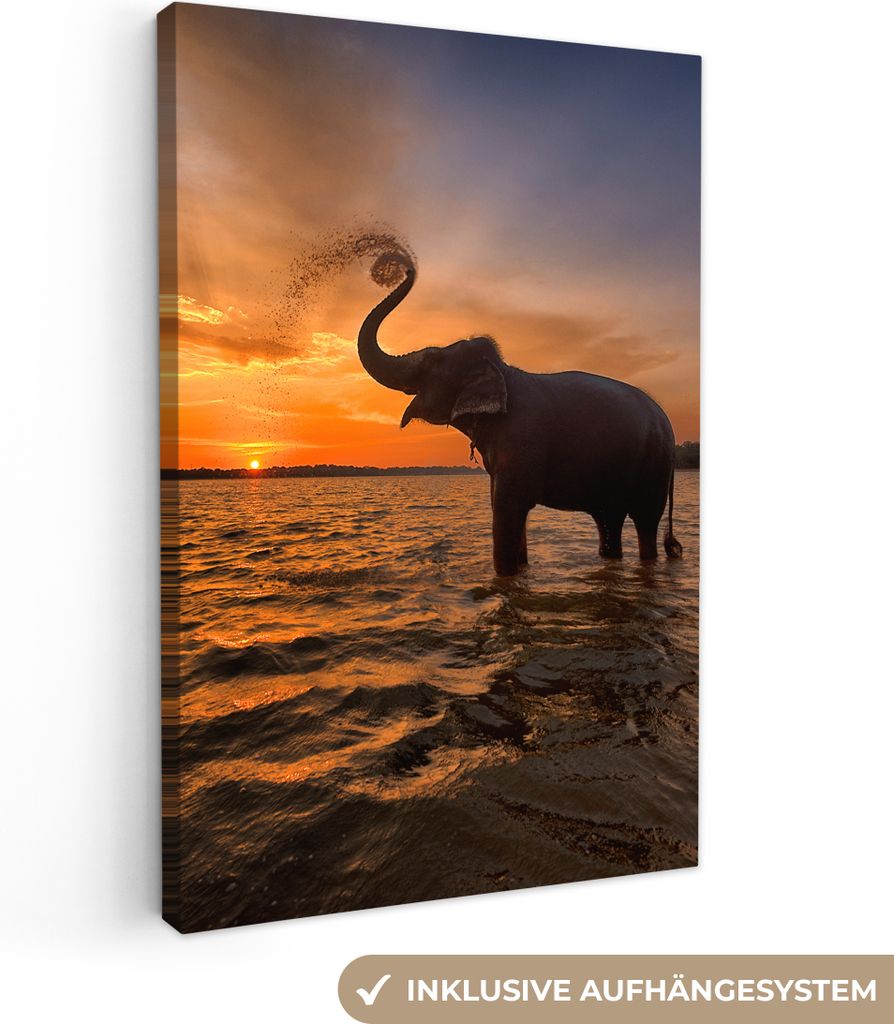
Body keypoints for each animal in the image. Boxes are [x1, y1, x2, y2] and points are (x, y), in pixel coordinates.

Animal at [358, 264, 682, 577]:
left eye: (433, 359)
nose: (405, 269)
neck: (504, 371)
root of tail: (667, 421)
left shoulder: (521, 440)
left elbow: (507, 509)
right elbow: (504, 508)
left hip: (653, 468)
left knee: (645, 523)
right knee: (609, 521)